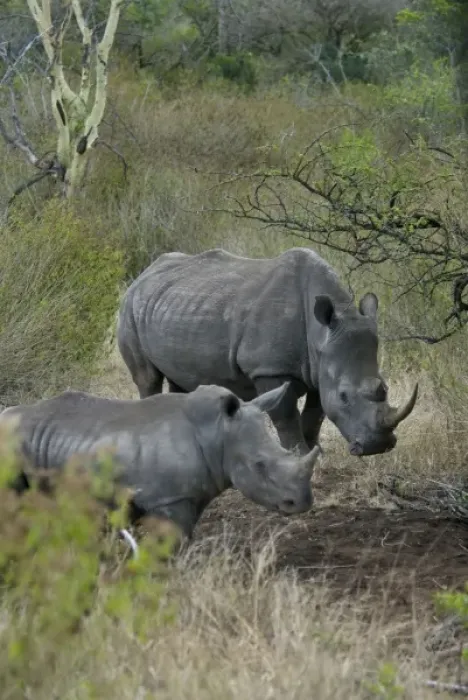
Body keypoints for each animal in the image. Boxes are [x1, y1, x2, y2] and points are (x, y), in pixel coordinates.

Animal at [117, 247, 418, 457]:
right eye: (344, 396)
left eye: (385, 388)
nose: (378, 446)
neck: (321, 335)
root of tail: (143, 274)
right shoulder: (268, 369)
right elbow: (285, 413)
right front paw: (297, 453)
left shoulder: (320, 367)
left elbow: (316, 413)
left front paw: (315, 452)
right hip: (130, 308)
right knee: (148, 379)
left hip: (172, 306)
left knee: (180, 379)